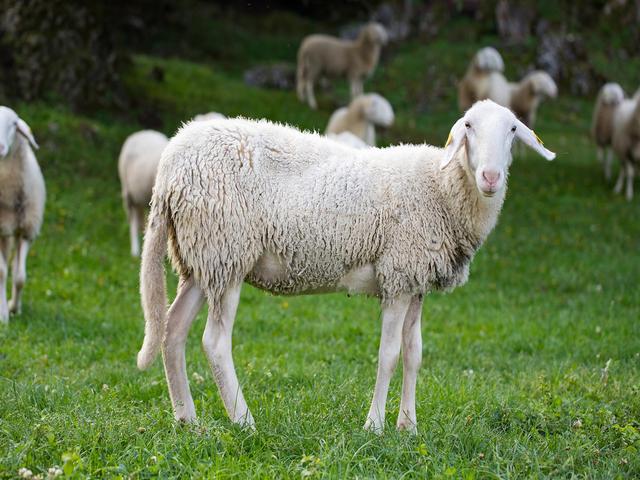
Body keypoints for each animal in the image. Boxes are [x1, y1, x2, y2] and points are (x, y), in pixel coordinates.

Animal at [136, 100, 555, 433]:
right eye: (468, 125)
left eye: (513, 129)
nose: (491, 177)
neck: (440, 188)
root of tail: (170, 165)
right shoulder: (397, 274)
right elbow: (389, 355)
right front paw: (375, 426)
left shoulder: (416, 280)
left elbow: (414, 353)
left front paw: (409, 426)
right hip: (227, 249)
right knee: (215, 342)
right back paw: (243, 421)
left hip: (202, 258)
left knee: (172, 330)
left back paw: (188, 420)